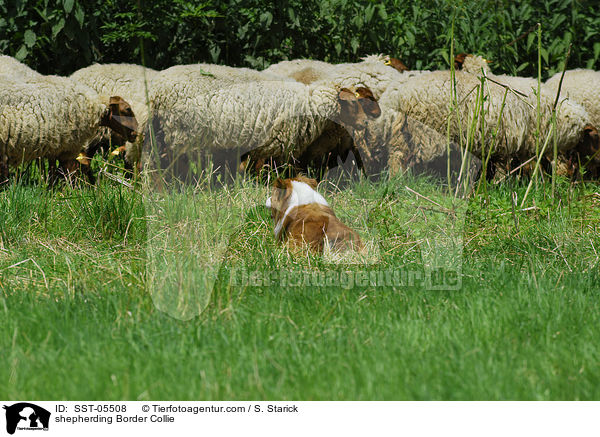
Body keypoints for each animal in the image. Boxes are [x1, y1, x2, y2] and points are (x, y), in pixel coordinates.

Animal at [0, 74, 138, 183]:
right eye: (127, 109)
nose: (135, 134)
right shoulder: (69, 147)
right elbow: (69, 174)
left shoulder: (55, 147)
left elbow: (53, 172)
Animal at [144, 63, 380, 181]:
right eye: (352, 104)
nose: (364, 124)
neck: (310, 105)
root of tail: (157, 91)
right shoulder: (270, 147)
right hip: (182, 136)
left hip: (162, 135)